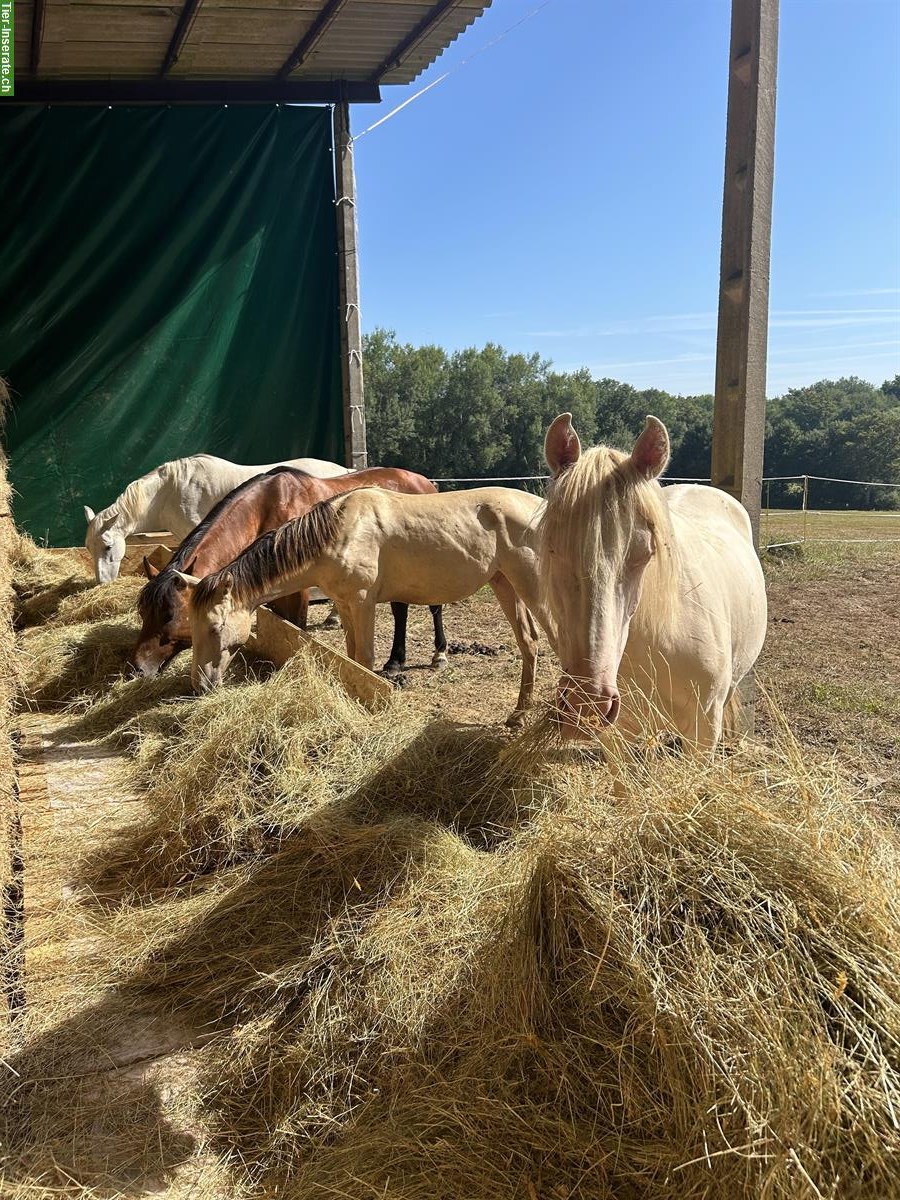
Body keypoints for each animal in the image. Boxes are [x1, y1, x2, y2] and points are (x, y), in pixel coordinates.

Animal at [132, 465, 446, 676]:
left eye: (170, 614)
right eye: (143, 613)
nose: (136, 668)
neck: (266, 511)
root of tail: (425, 483)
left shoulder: (297, 594)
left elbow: (295, 631)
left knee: (434, 607)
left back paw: (439, 654)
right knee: (400, 608)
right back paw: (394, 662)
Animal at [180, 482, 554, 724]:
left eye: (215, 627)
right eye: (191, 626)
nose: (200, 686)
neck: (338, 531)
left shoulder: (363, 604)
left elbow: (365, 658)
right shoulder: (345, 605)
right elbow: (350, 658)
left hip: (533, 587)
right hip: (505, 583)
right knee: (529, 642)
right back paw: (519, 714)